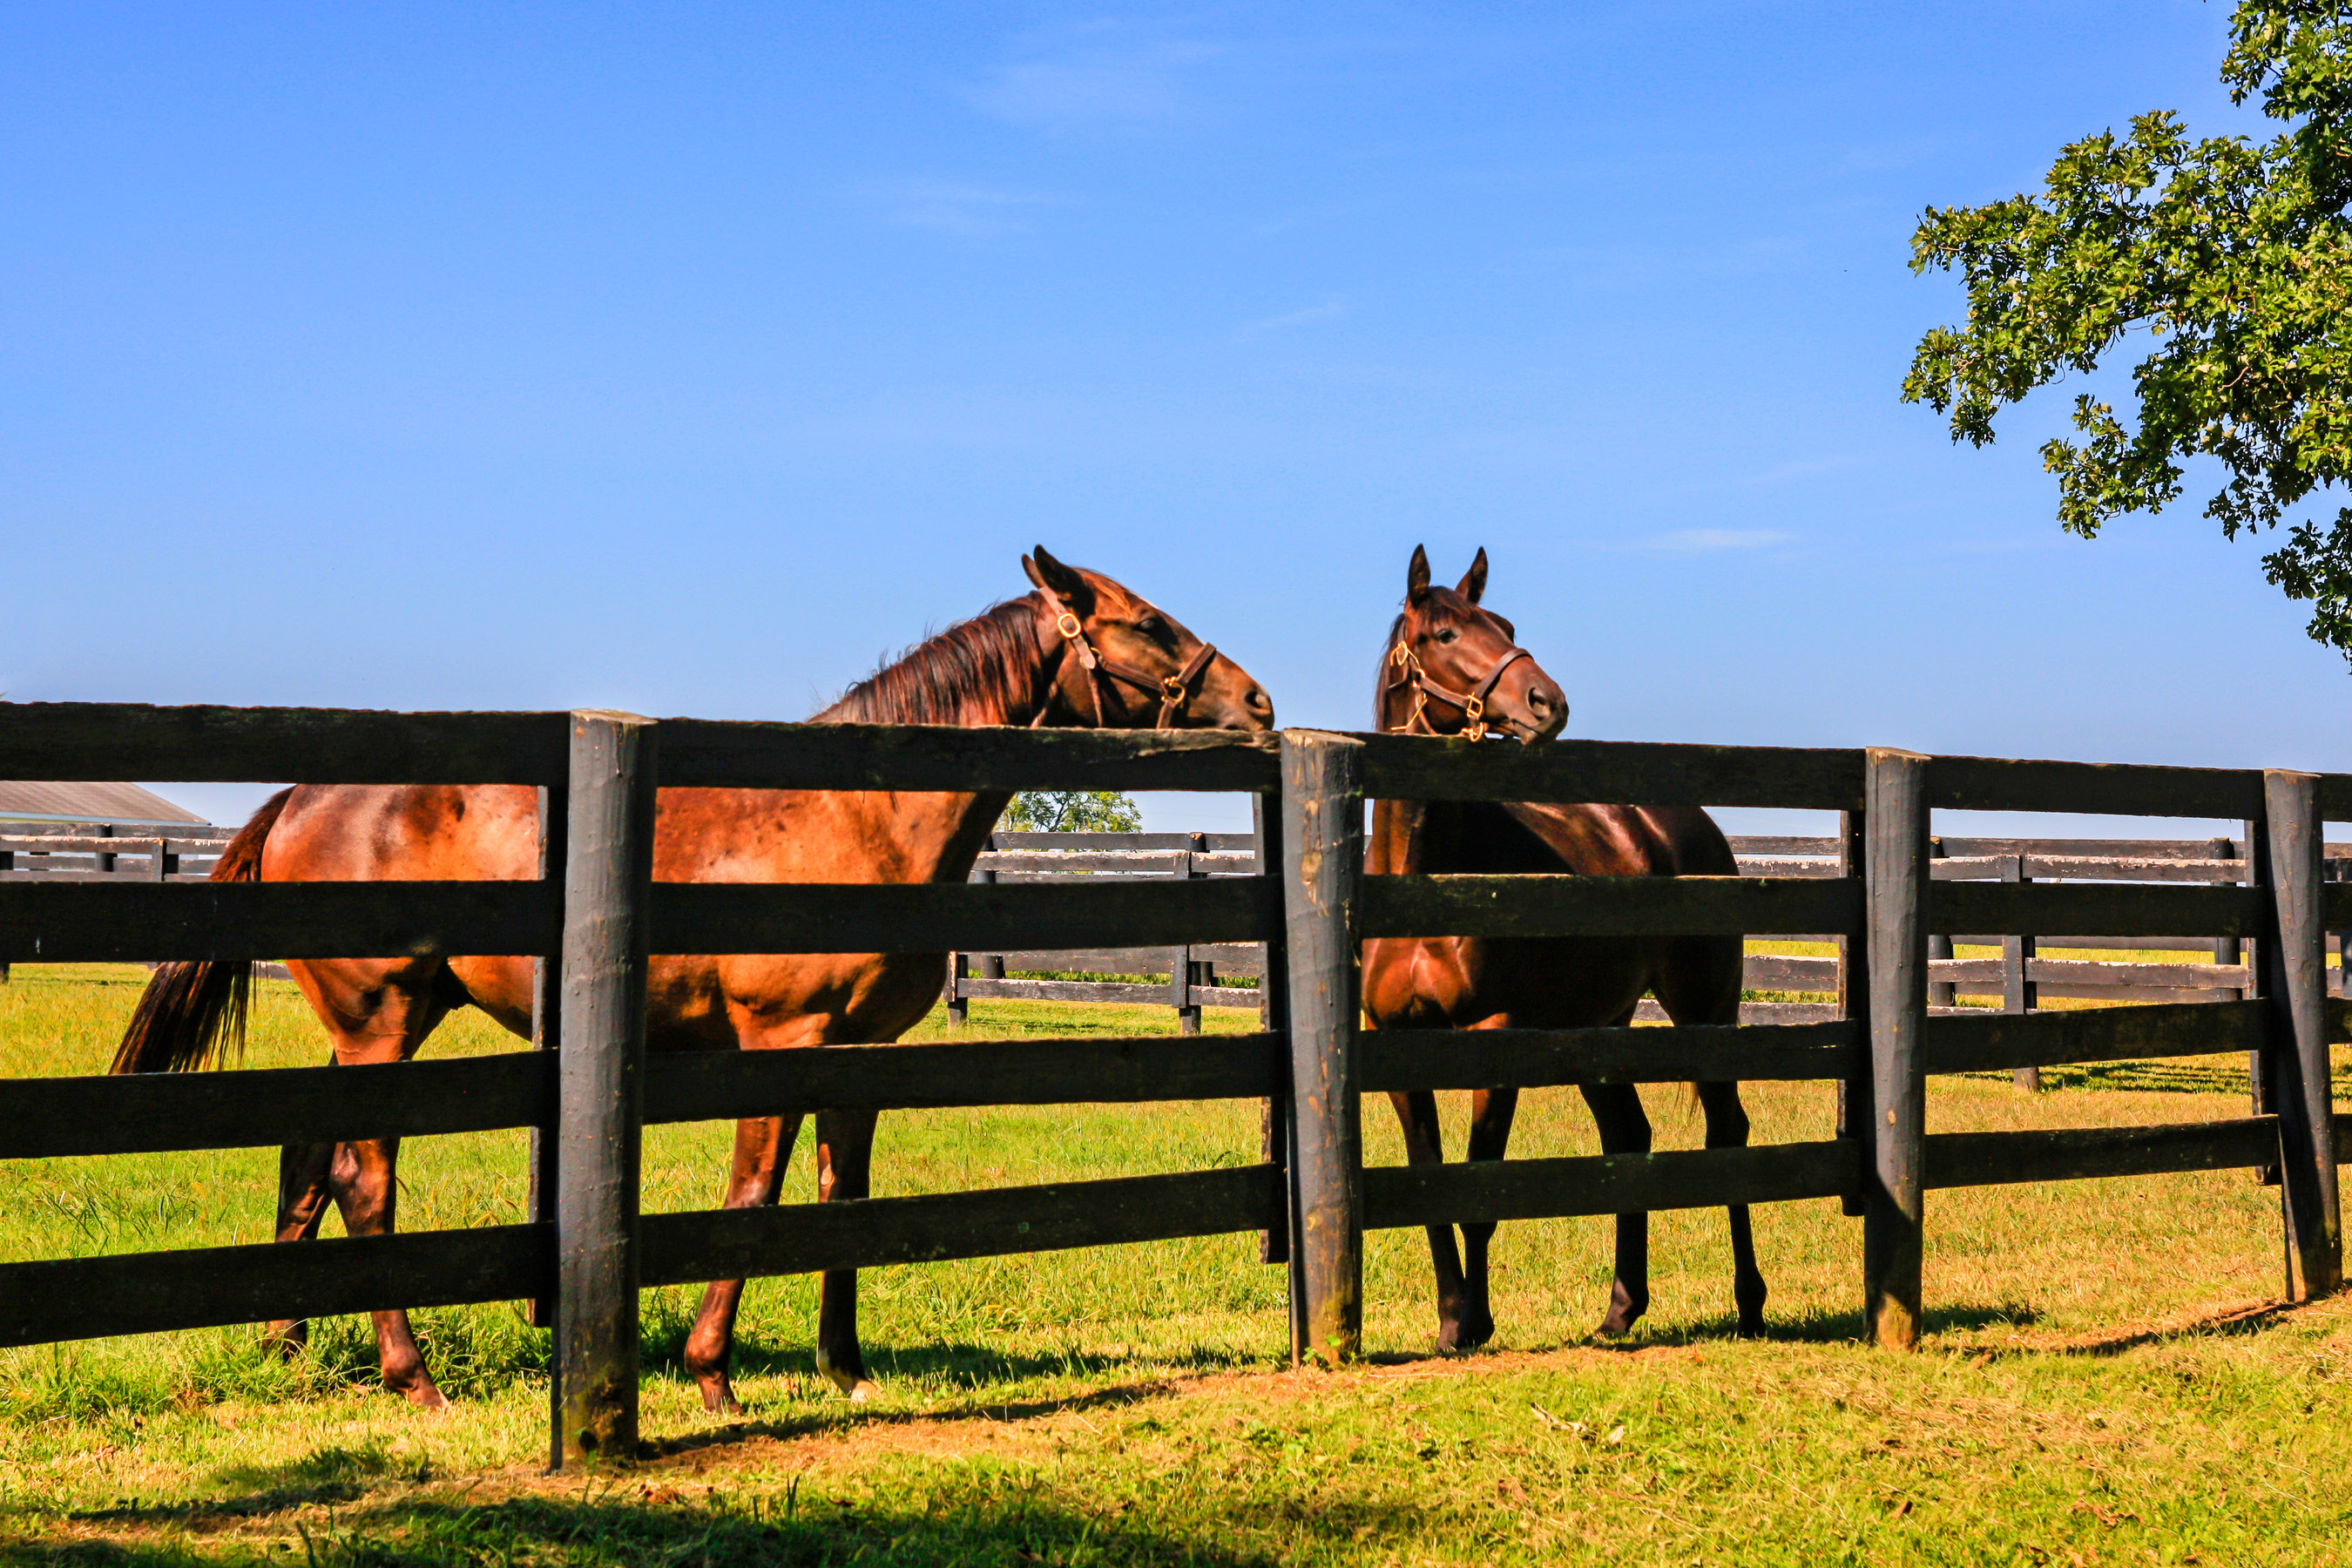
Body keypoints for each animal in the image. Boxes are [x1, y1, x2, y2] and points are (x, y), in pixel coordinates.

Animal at [111, 547, 1274, 1412]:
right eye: (1148, 624)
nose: (1258, 703)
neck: (855, 817)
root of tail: (301, 796)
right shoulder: (780, 1041)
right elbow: (753, 1195)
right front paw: (713, 1377)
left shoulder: (861, 1054)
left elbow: (841, 1199)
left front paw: (846, 1371)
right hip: (382, 1023)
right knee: (363, 1179)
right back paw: (415, 1379)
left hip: (369, 1032)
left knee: (307, 1158)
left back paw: (288, 1343)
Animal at [1358, 545, 1765, 1352]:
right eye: (1445, 634)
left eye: (1507, 624)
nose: (1548, 702)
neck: (1422, 883)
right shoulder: (1394, 1044)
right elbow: (1430, 1184)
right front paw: (1450, 1321)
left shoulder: (1495, 1037)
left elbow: (1480, 1190)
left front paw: (1474, 1323)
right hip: (1597, 1027)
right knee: (1629, 1136)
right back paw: (1621, 1310)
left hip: (1703, 1010)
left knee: (1727, 1133)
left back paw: (1750, 1301)